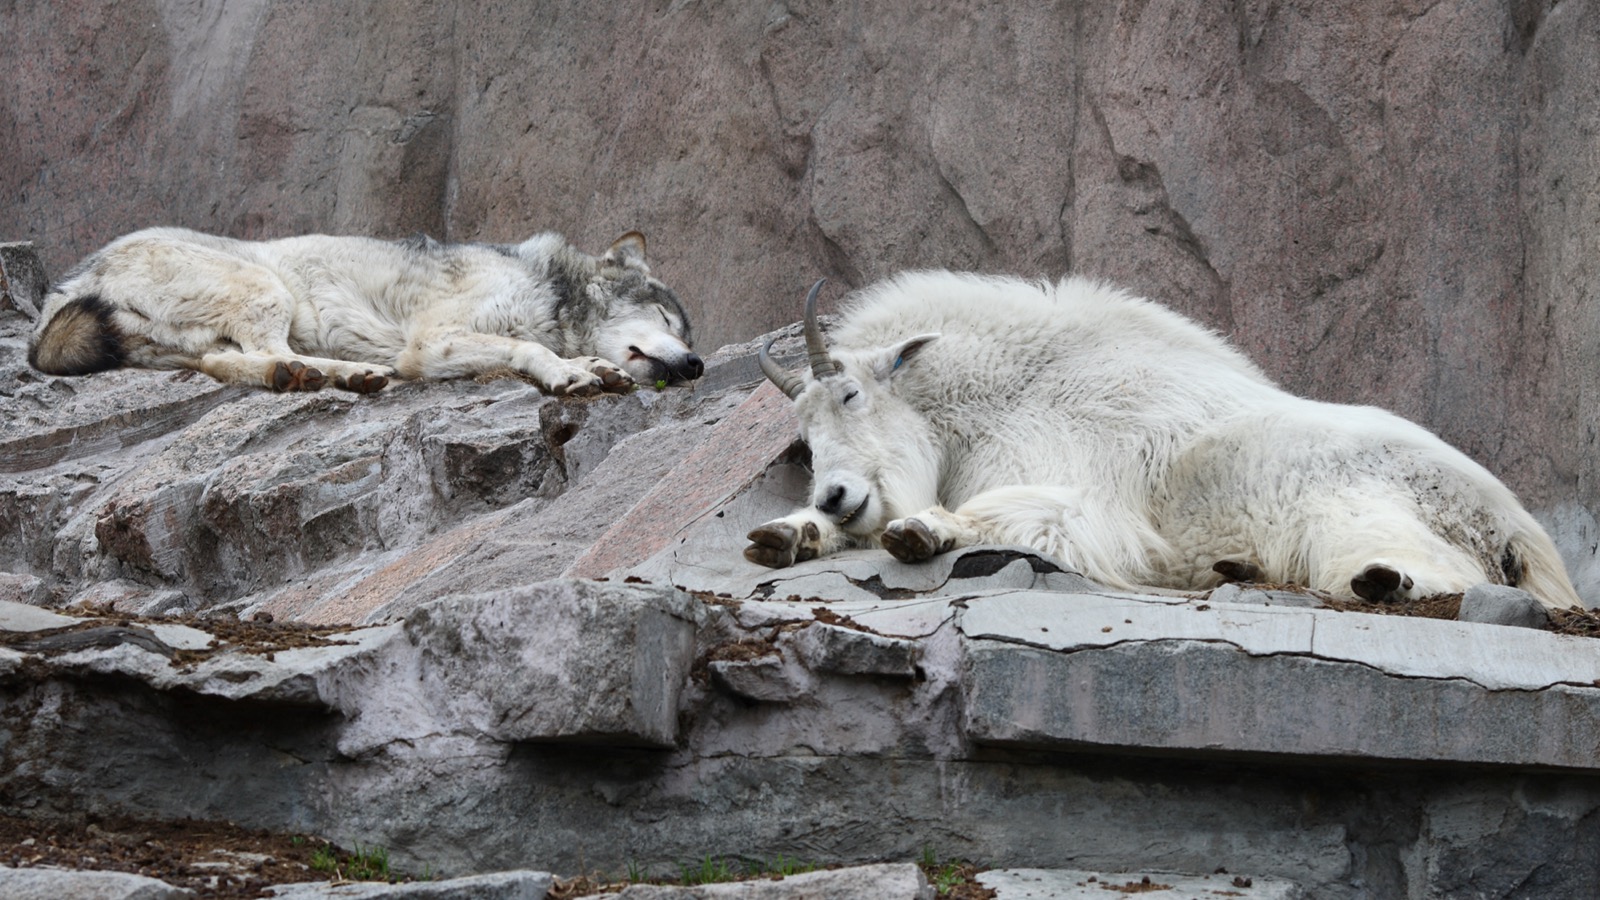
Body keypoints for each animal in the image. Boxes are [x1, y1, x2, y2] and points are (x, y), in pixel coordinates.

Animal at [742, 273, 1580, 608]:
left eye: (851, 394)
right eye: (804, 437)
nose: (835, 494)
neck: (1009, 392)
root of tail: (1513, 528)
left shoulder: (1088, 501)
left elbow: (1012, 511)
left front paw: (920, 529)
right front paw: (784, 534)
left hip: (1358, 510)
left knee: (1442, 572)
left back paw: (1383, 581)